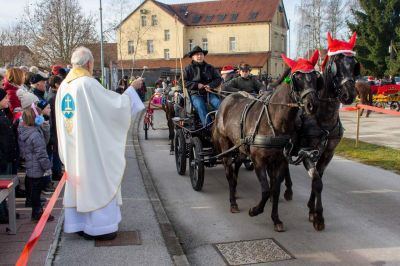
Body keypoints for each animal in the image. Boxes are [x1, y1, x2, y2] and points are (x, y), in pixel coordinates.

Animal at [212, 51, 322, 232]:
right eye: (297, 77)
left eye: (315, 77)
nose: (312, 105)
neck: (276, 120)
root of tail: (225, 102)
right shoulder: (258, 161)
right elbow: (265, 190)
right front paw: (255, 210)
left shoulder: (281, 161)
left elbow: (275, 190)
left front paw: (275, 219)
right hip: (225, 145)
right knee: (228, 170)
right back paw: (233, 202)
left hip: (241, 147)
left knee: (237, 165)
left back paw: (235, 187)